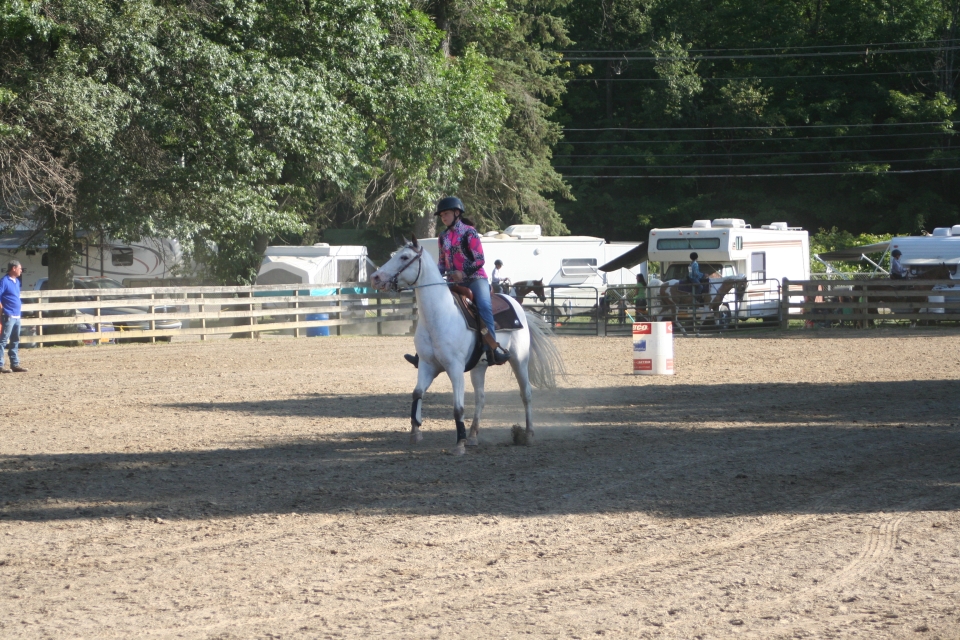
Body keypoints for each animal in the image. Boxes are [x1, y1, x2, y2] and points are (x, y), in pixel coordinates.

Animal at [368, 239, 564, 456]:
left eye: (404, 257)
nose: (375, 278)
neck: (440, 315)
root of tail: (519, 307)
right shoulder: (427, 365)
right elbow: (417, 393)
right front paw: (416, 432)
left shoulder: (455, 368)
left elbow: (458, 408)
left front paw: (459, 444)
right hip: (479, 367)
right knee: (481, 399)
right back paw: (473, 436)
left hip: (519, 359)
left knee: (526, 393)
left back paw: (528, 435)